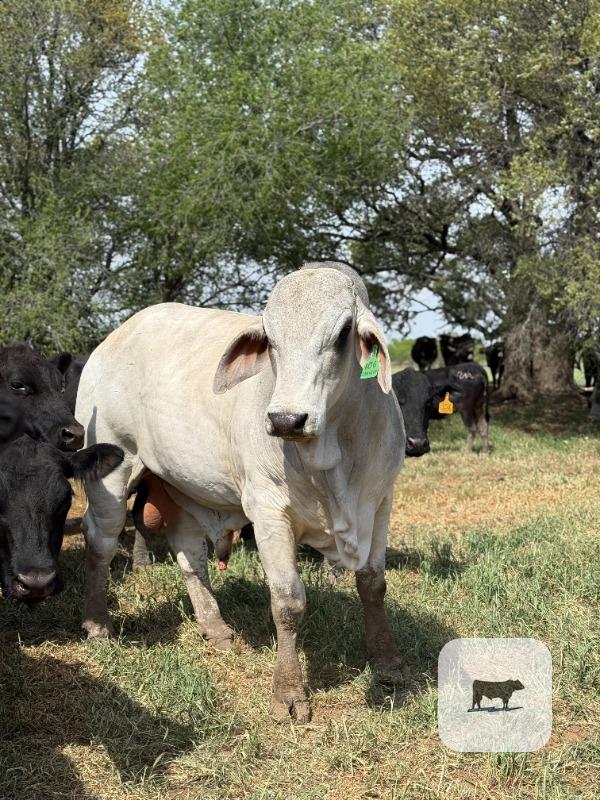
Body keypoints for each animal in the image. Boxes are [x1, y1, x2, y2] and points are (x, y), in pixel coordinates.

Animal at [76, 263, 406, 723]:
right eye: (269, 336)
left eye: (343, 332)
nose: (286, 419)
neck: (334, 457)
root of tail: (115, 337)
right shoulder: (267, 510)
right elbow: (287, 601)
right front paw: (289, 692)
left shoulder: (379, 503)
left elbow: (373, 584)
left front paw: (387, 661)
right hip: (112, 466)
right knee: (101, 542)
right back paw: (97, 623)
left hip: (181, 485)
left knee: (188, 554)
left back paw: (214, 627)